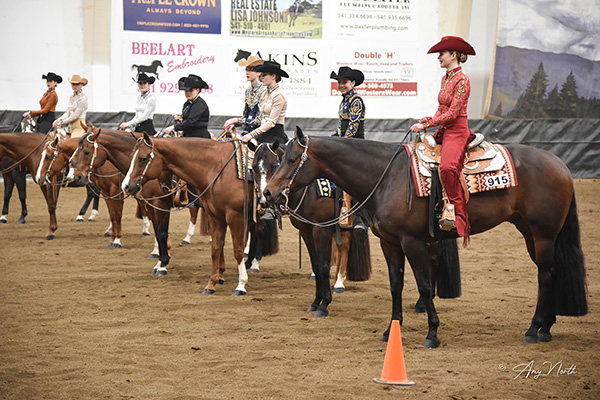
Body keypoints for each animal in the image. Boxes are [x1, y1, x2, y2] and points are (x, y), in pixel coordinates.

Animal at [122, 133, 260, 296]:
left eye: (143, 158)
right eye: (131, 155)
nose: (125, 186)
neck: (218, 169)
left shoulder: (234, 216)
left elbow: (238, 249)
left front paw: (241, 285)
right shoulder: (215, 215)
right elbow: (216, 248)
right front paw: (212, 283)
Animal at [264, 128, 588, 346]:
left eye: (291, 159)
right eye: (280, 159)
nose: (268, 192)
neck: (386, 177)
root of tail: (559, 164)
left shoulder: (412, 242)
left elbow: (422, 283)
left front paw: (432, 332)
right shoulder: (389, 242)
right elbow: (396, 284)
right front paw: (391, 330)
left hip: (542, 233)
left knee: (546, 274)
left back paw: (533, 330)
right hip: (530, 232)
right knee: (552, 271)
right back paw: (546, 328)